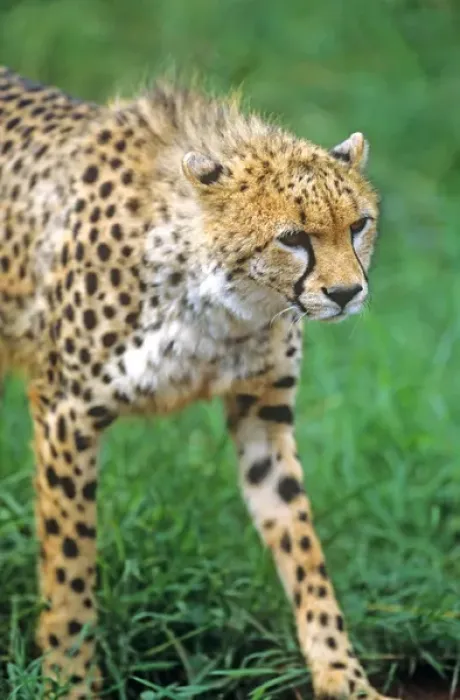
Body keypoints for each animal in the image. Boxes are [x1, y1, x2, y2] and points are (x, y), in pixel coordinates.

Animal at [0, 65, 397, 700]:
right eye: (292, 238)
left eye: (359, 225)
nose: (345, 293)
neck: (220, 302)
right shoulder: (66, 410)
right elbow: (69, 564)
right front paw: (70, 678)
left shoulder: (263, 416)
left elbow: (302, 547)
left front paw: (343, 674)